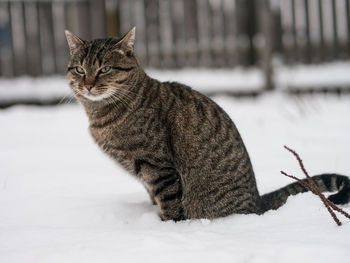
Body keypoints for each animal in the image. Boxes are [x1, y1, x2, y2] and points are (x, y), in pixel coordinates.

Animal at [65, 27, 350, 221]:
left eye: (104, 69)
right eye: (79, 69)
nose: (87, 84)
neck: (101, 115)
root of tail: (258, 203)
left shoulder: (159, 168)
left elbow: (170, 204)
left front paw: (165, 226)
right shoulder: (147, 176)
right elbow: (154, 198)